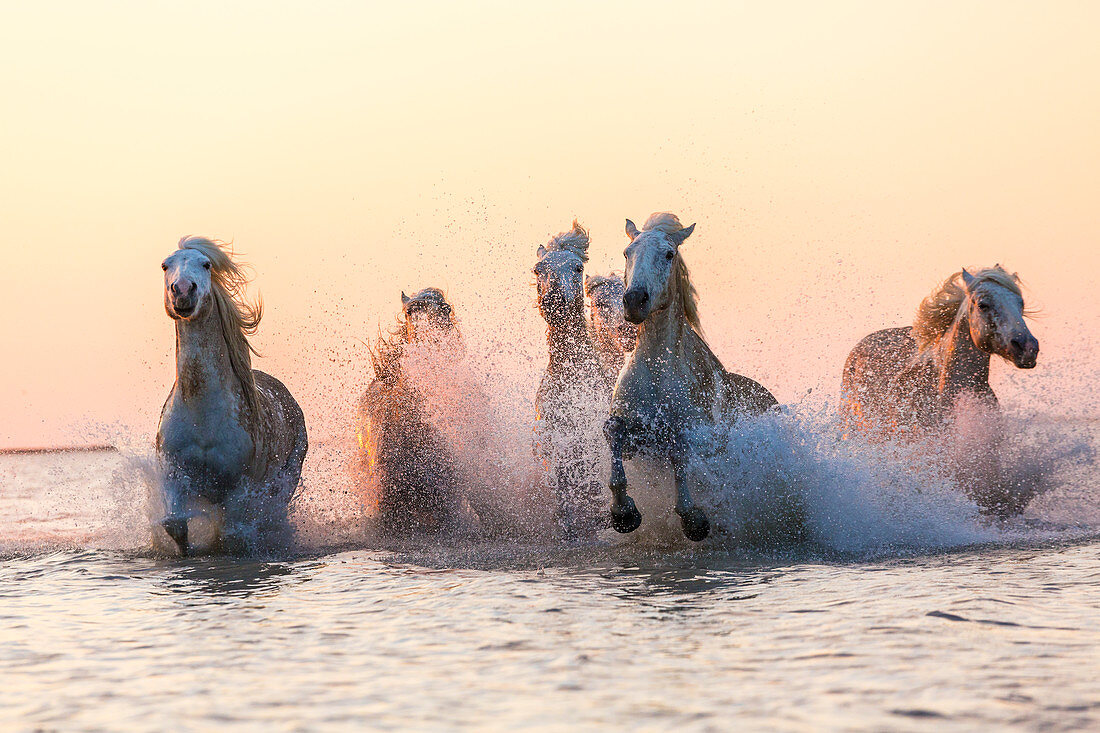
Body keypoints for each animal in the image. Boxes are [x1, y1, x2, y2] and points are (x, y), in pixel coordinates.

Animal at [157, 236, 308, 550]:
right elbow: (175, 524)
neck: (201, 414)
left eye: (206, 264)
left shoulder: (239, 488)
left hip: (286, 480)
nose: (183, 291)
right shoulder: (173, 475)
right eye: (165, 265)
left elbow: (231, 536)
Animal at [607, 214, 778, 539]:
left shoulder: (697, 438)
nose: (634, 300)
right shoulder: (639, 438)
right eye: (627, 252)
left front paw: (693, 519)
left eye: (668, 254)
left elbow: (680, 452)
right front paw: (624, 513)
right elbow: (614, 435)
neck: (658, 371)